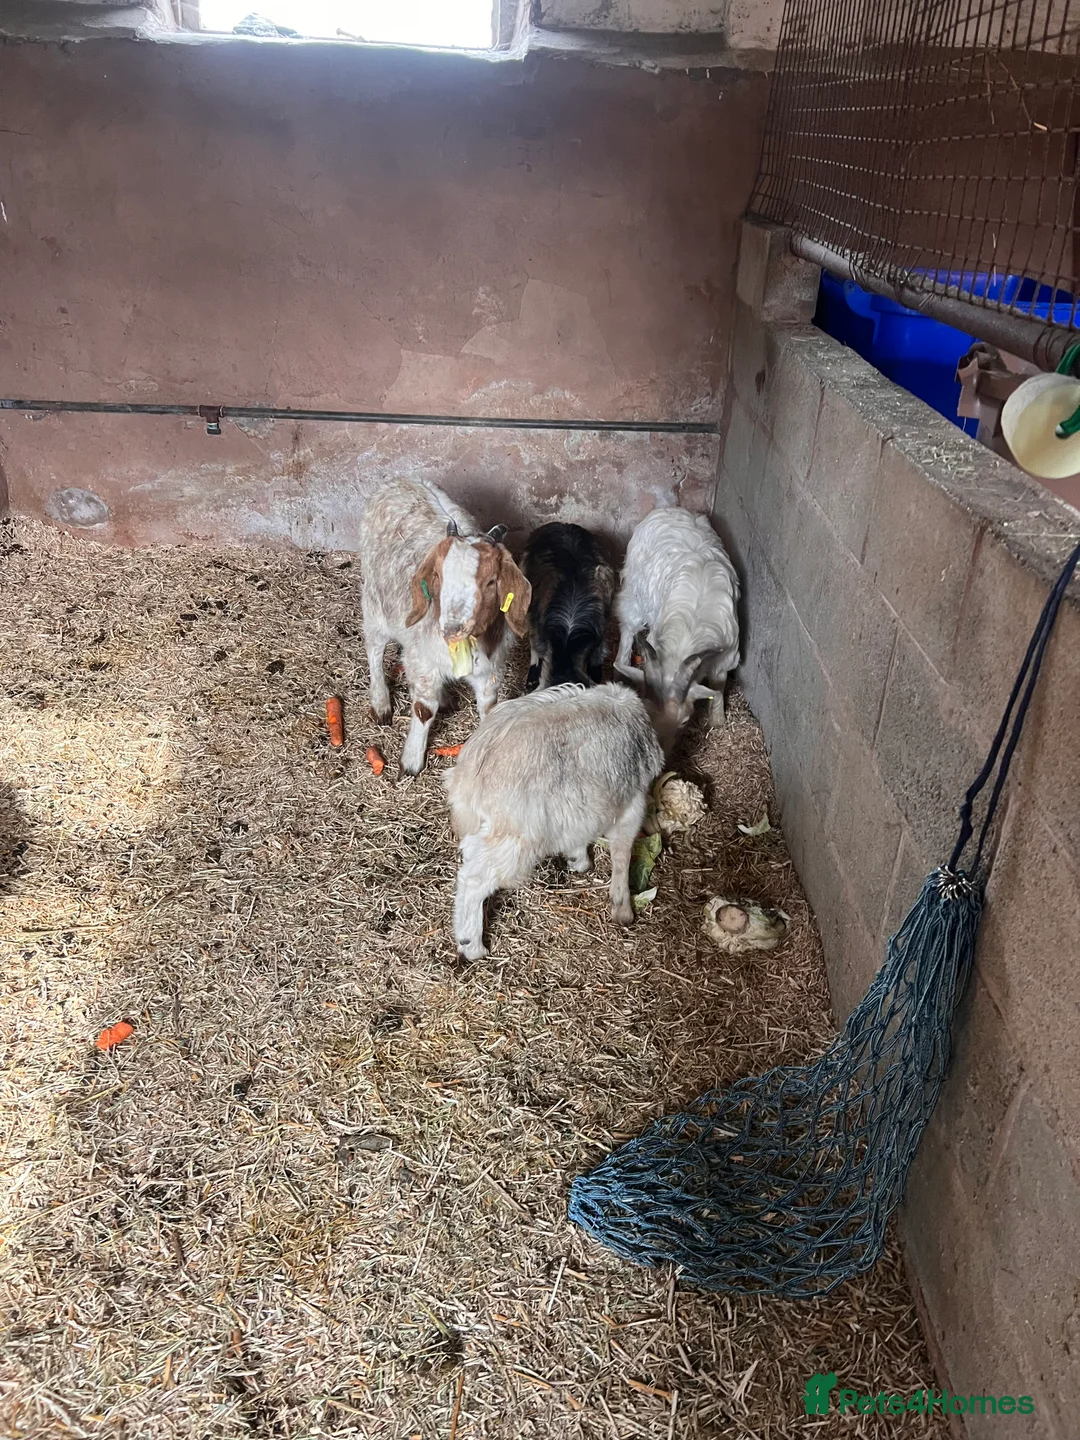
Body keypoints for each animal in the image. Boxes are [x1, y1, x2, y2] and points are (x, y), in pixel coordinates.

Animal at [358, 478, 531, 774]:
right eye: (437, 576)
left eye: (491, 582)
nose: (452, 628)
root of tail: (400, 480)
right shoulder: (424, 663)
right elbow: (424, 708)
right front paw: (411, 761)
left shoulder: (490, 671)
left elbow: (489, 708)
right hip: (374, 604)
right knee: (374, 650)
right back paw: (380, 702)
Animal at [445, 682, 664, 960]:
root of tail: (469, 776)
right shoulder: (632, 805)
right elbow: (622, 854)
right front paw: (622, 908)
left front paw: (577, 861)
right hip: (515, 838)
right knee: (474, 879)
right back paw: (472, 945)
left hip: (488, 830)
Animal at [614, 506, 740, 752]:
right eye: (648, 715)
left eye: (684, 721)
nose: (663, 752)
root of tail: (670, 509)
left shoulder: (726, 655)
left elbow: (718, 684)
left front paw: (717, 720)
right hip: (634, 588)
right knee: (628, 624)